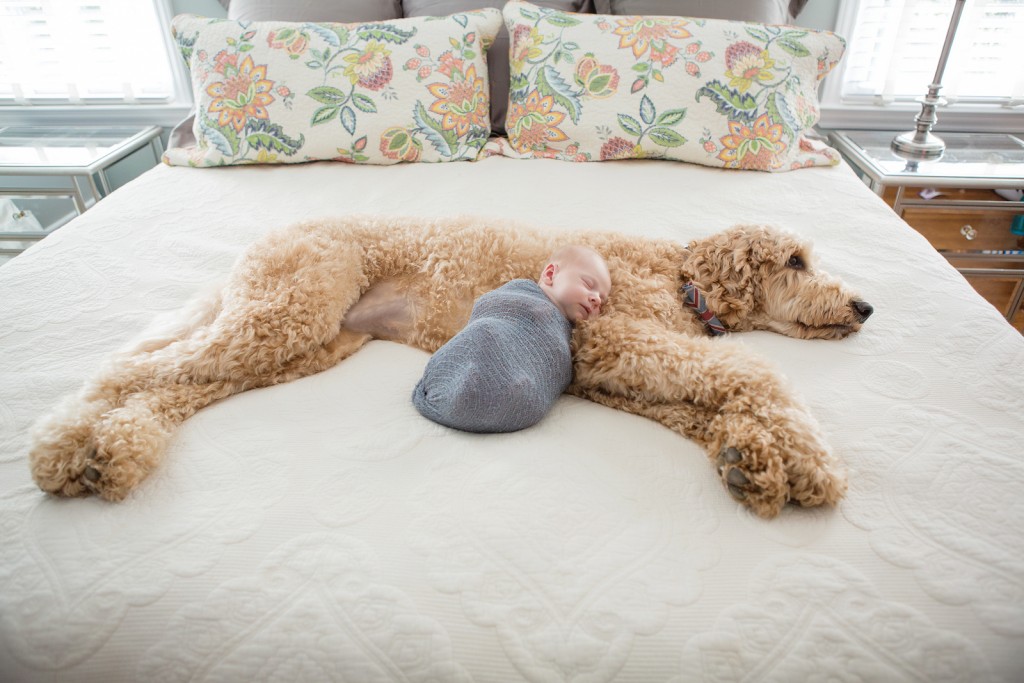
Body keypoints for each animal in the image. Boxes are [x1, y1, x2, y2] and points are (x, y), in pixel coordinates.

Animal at [28, 216, 868, 520]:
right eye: (795, 261)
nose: (864, 306)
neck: (680, 276)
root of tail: (266, 238)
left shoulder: (616, 371)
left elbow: (712, 404)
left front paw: (754, 462)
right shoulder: (616, 339)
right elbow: (759, 374)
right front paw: (814, 462)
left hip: (296, 343)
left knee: (175, 385)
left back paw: (112, 455)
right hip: (284, 313)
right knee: (134, 373)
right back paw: (65, 448)